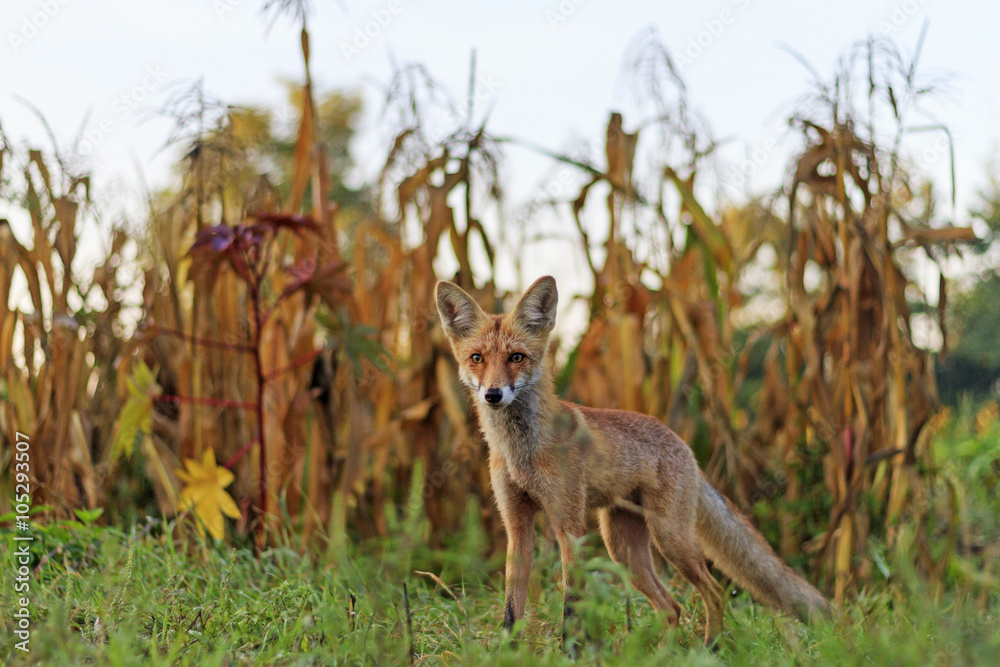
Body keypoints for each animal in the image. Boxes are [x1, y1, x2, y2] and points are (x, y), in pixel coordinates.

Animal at [436, 275, 830, 646]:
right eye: (477, 358)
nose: (493, 394)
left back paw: (711, 647)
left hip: (669, 538)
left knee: (714, 592)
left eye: (516, 357)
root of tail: (683, 444)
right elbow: (511, 609)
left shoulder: (569, 525)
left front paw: (572, 653)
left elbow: (571, 605)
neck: (522, 453)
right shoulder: (517, 525)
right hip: (624, 549)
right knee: (672, 608)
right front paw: (509, 651)